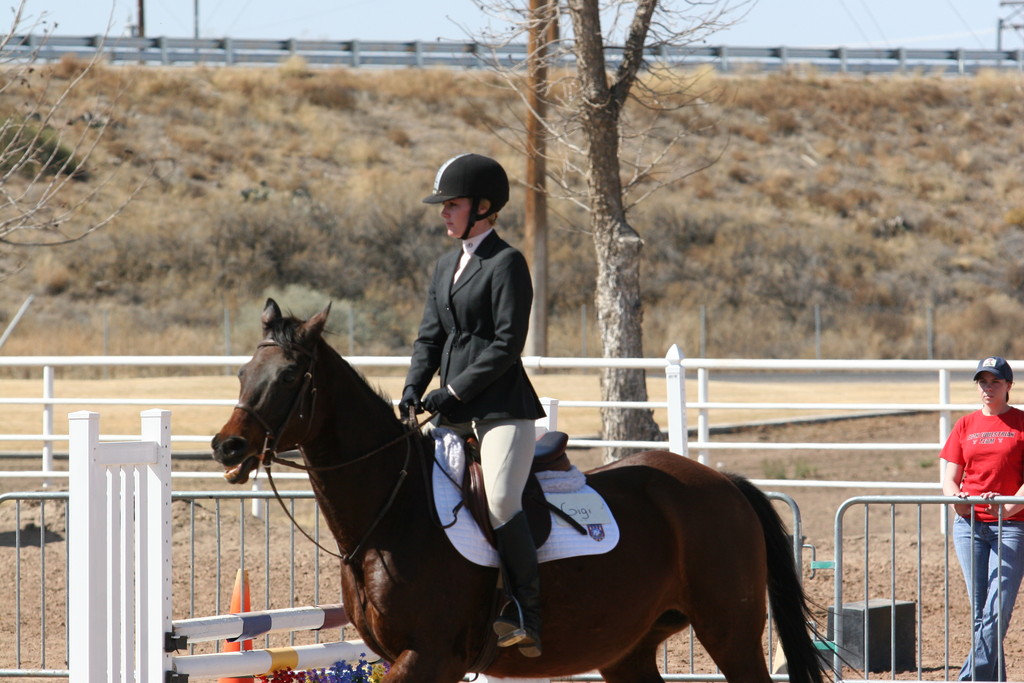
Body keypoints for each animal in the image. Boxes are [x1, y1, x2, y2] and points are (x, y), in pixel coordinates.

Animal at [211, 301, 827, 683]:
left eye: (290, 377)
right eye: (242, 374)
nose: (226, 448)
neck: (392, 513)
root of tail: (723, 483)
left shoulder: (427, 656)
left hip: (730, 631)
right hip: (629, 650)